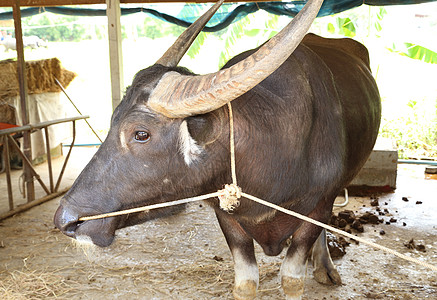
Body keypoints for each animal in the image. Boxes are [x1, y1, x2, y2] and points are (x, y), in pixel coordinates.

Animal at [54, 1, 380, 298]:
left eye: (141, 134)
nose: (65, 220)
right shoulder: (227, 217)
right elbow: (246, 282)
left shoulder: (319, 205)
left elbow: (292, 278)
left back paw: (325, 267)